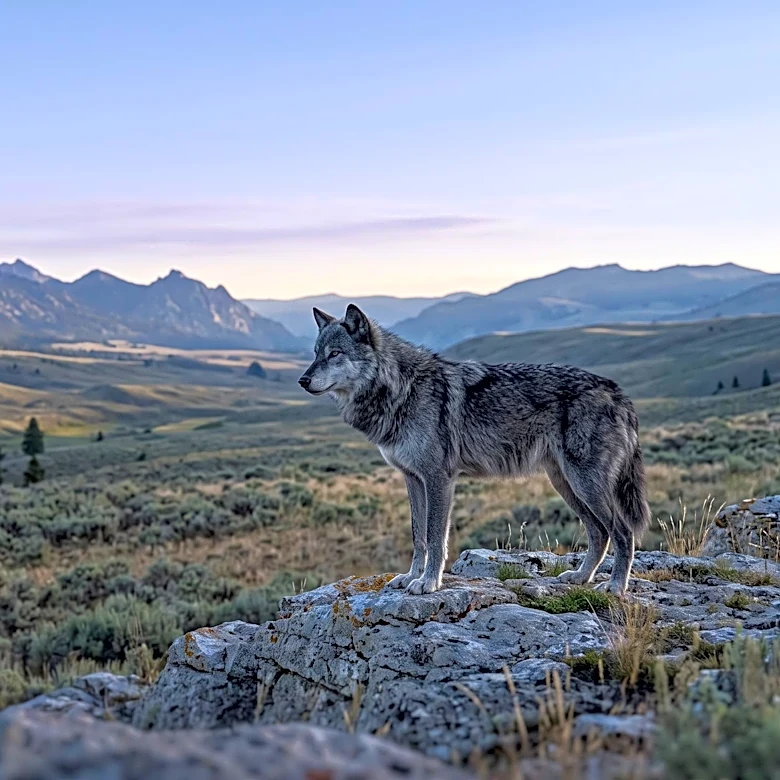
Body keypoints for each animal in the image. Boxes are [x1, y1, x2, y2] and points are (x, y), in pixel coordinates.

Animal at [298, 304, 650, 596]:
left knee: (622, 532)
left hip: (585, 484)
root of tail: (617, 392)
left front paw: (428, 583)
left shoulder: (439, 479)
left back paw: (615, 587)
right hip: (566, 484)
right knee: (599, 532)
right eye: (315, 353)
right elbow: (417, 536)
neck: (402, 389)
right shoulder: (412, 479)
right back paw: (580, 577)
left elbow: (435, 538)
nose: (302, 380)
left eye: (334, 354)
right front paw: (410, 577)